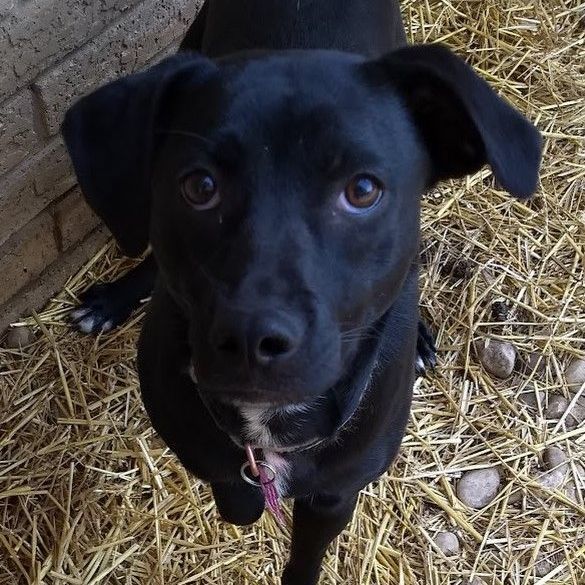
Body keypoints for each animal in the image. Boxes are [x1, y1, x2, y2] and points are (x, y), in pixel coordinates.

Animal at [61, 2, 540, 580]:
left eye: (363, 190)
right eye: (199, 186)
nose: (251, 339)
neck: (269, 428)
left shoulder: (334, 497)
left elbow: (305, 555)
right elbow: (235, 495)